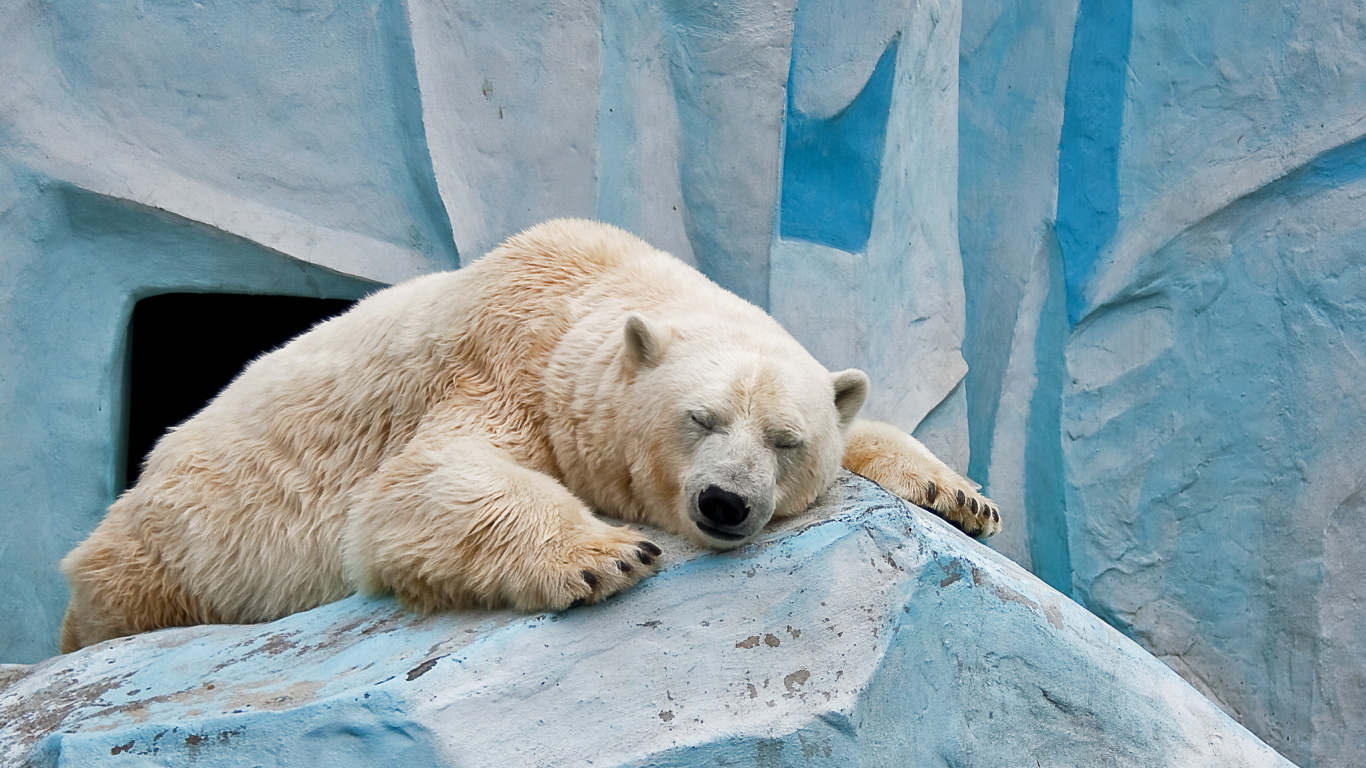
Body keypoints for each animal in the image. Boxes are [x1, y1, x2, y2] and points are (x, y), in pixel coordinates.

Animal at [58, 218, 999, 647]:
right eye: (700, 418)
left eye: (784, 438)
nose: (726, 504)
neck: (589, 287)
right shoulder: (499, 364)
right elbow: (417, 485)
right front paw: (605, 554)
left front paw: (961, 496)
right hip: (170, 549)